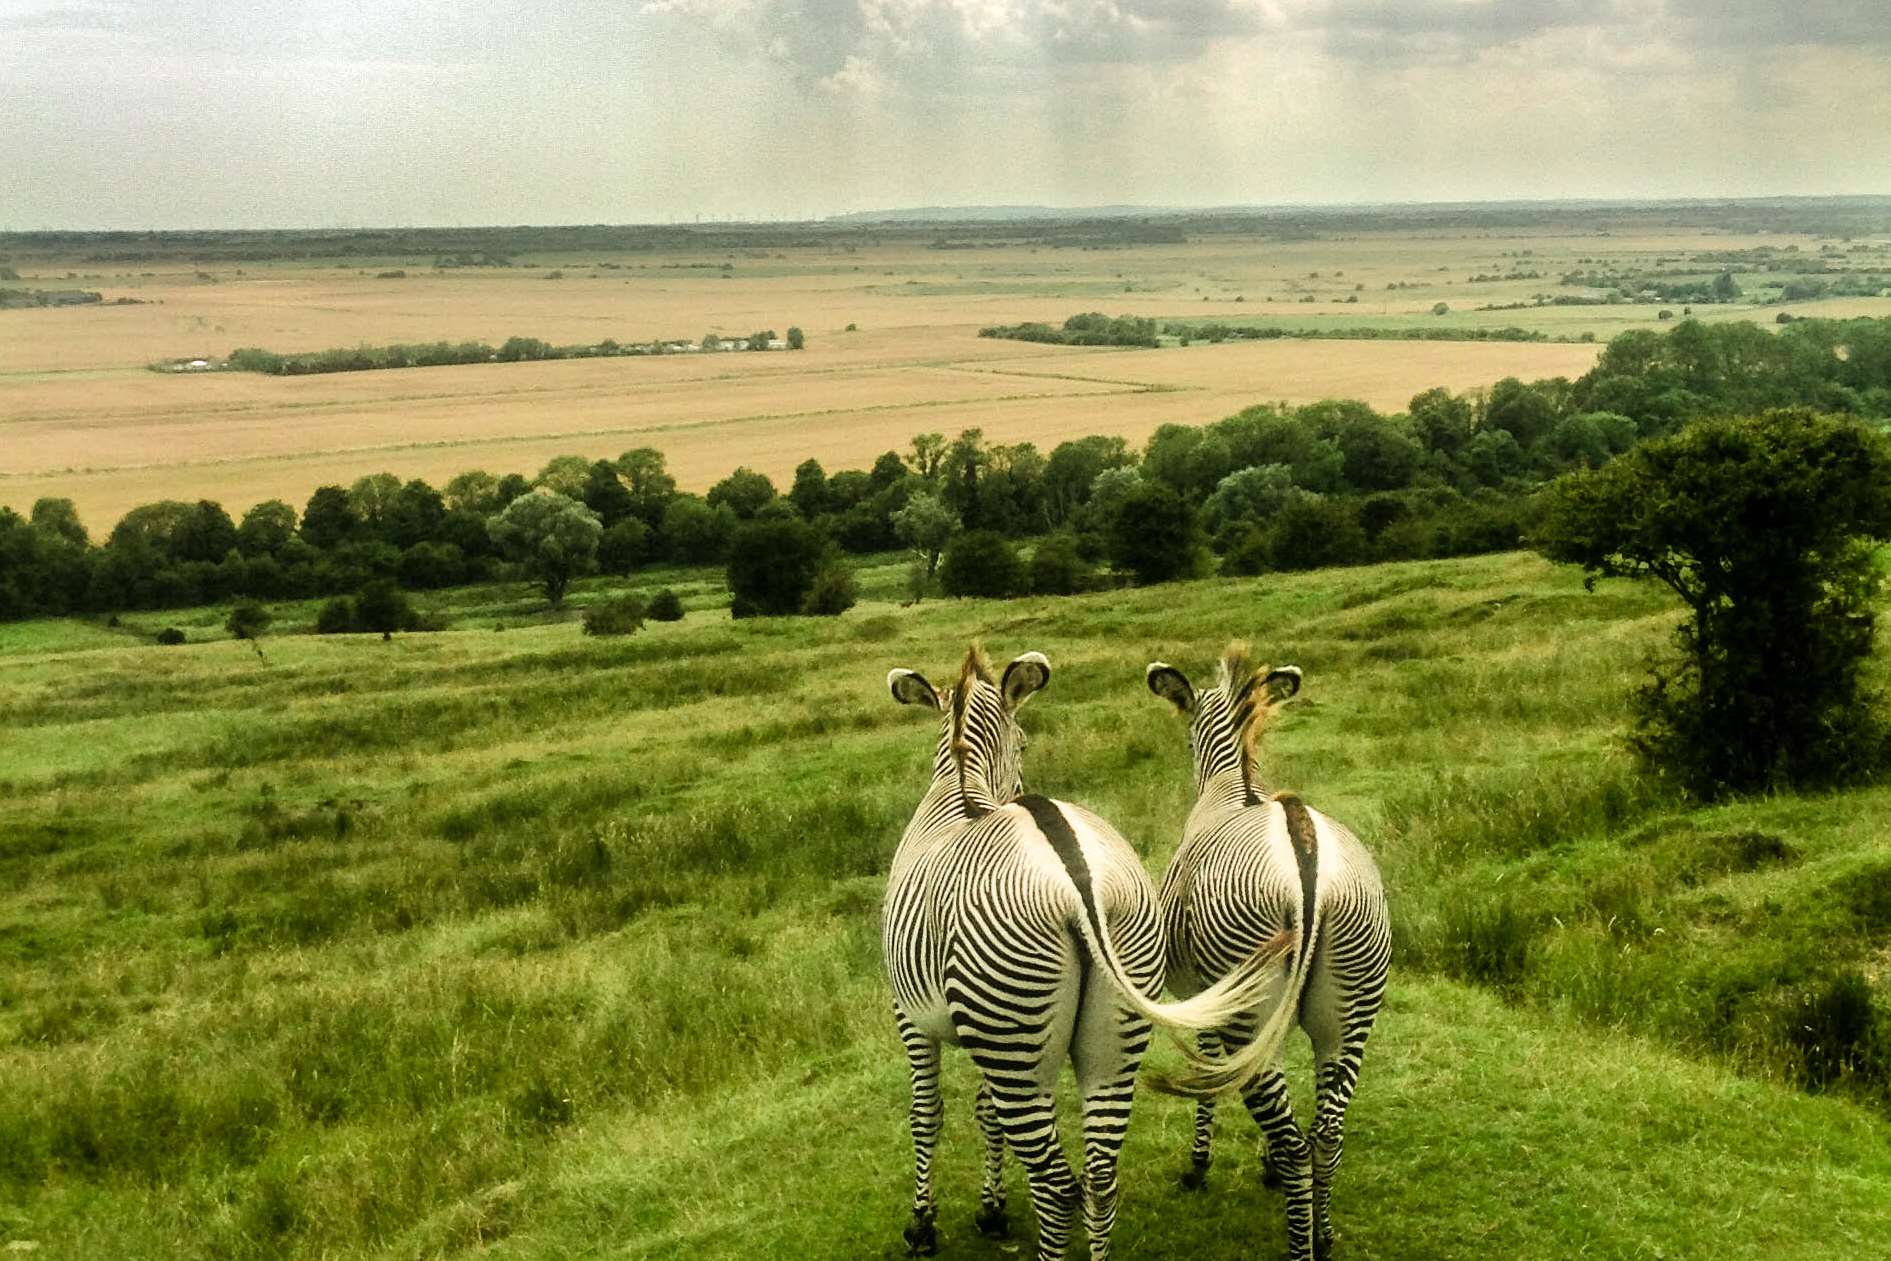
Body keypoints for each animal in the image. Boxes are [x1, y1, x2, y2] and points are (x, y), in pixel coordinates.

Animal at [877, 646, 1293, 1255]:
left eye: (1024, 744)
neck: (961, 789)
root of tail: (1079, 884)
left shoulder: (910, 1016)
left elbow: (927, 1114)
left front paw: (924, 1225)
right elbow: (984, 1112)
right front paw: (992, 1209)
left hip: (1015, 1031)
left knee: (1056, 1183)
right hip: (1108, 1017)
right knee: (1098, 1175)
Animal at [1134, 646, 1391, 1261]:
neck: (1235, 785)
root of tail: (1303, 845)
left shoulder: (1204, 996)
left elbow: (1209, 1072)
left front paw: (1199, 1165)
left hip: (1245, 999)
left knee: (1296, 1137)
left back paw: (1298, 1233)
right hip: (1352, 1004)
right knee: (1326, 1135)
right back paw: (1321, 1234)